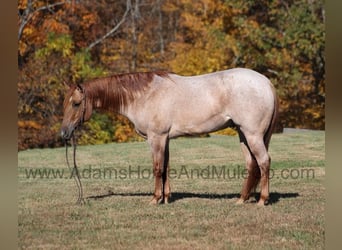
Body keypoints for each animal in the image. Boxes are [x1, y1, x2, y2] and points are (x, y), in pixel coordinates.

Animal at [61, 68, 280, 205]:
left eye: (76, 104)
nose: (64, 133)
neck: (144, 95)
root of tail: (266, 83)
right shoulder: (165, 138)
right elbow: (165, 166)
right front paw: (166, 198)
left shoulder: (156, 137)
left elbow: (157, 168)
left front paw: (155, 199)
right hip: (243, 134)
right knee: (252, 164)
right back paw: (241, 199)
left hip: (252, 135)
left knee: (263, 161)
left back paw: (262, 200)